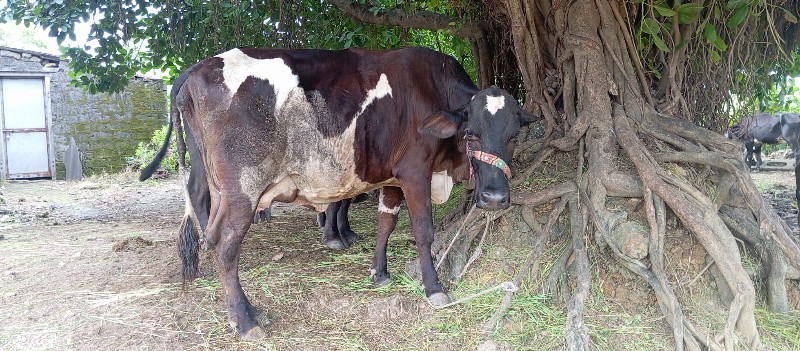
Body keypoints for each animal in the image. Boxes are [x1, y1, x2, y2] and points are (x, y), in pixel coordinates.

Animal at [141, 46, 540, 338]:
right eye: (471, 133)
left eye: (513, 136)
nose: (494, 198)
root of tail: (198, 67)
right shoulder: (415, 173)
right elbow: (423, 231)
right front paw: (434, 288)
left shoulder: (391, 178)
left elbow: (385, 224)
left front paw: (379, 273)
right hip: (243, 188)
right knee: (225, 243)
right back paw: (245, 321)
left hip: (214, 181)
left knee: (207, 225)